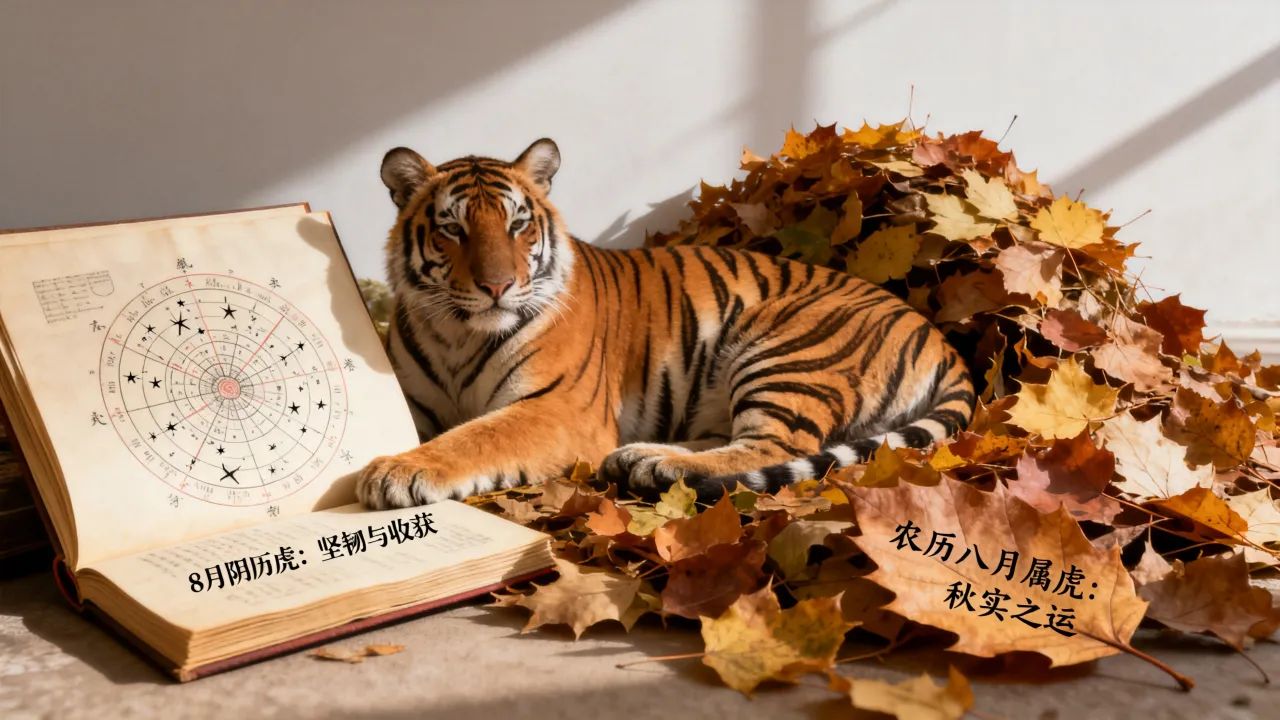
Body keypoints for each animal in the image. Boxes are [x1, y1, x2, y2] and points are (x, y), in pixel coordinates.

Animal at [357, 138, 974, 509]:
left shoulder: (557, 408)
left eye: (517, 225)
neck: (457, 334)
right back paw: (646, 456)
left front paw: (396, 470)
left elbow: (477, 436)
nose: (497, 286)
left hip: (785, 348)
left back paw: (656, 463)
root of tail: (941, 339)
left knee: (773, 446)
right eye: (453, 230)